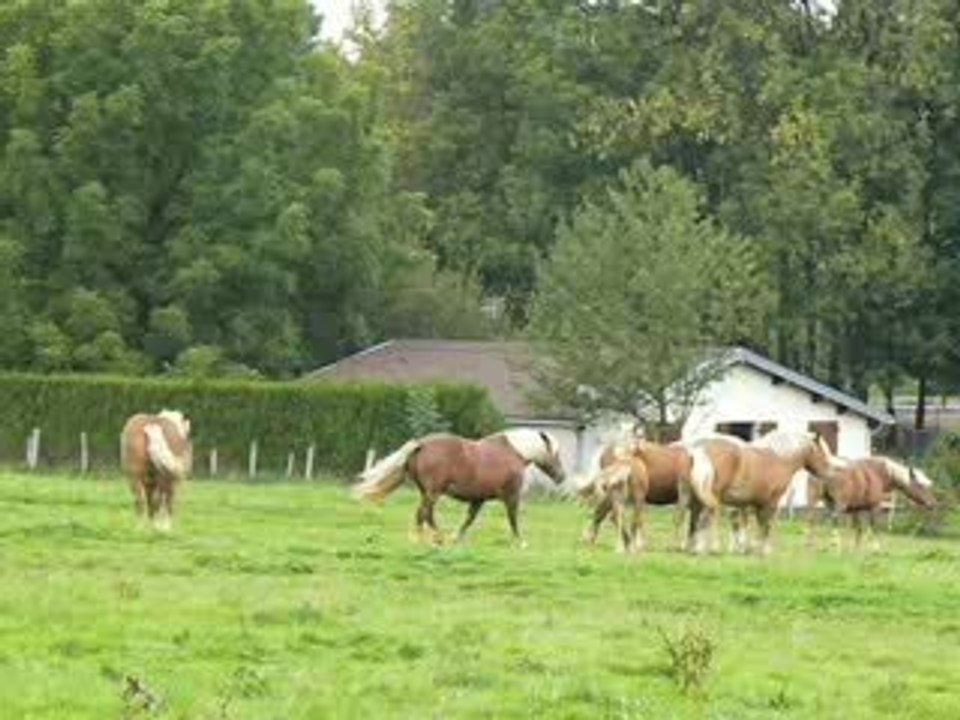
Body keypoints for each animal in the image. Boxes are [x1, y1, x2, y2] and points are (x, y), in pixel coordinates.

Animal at [353, 429, 566, 546]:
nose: (561, 477)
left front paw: (456, 538)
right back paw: (435, 538)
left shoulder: (478, 499)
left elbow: (468, 520)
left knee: (422, 514)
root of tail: (421, 444)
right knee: (425, 514)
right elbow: (513, 519)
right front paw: (521, 542)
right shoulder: (511, 496)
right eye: (555, 454)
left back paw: (428, 538)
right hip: (433, 493)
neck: (515, 454)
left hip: (426, 492)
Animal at [683, 429, 839, 555]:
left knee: (695, 519)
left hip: (698, 496)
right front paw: (764, 550)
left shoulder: (757, 503)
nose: (830, 473)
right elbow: (767, 524)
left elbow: (759, 524)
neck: (779, 458)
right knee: (707, 518)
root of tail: (701, 449)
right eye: (822, 451)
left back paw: (692, 548)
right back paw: (708, 548)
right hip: (712, 497)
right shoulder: (772, 502)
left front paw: (752, 549)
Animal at [808, 456, 937, 550]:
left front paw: (856, 548)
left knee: (813, 519)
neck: (877, 473)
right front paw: (876, 548)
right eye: (920, 485)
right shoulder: (874, 507)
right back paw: (834, 543)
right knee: (834, 518)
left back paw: (811, 544)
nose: (932, 503)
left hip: (819, 502)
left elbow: (859, 528)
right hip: (839, 505)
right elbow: (874, 526)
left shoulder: (856, 509)